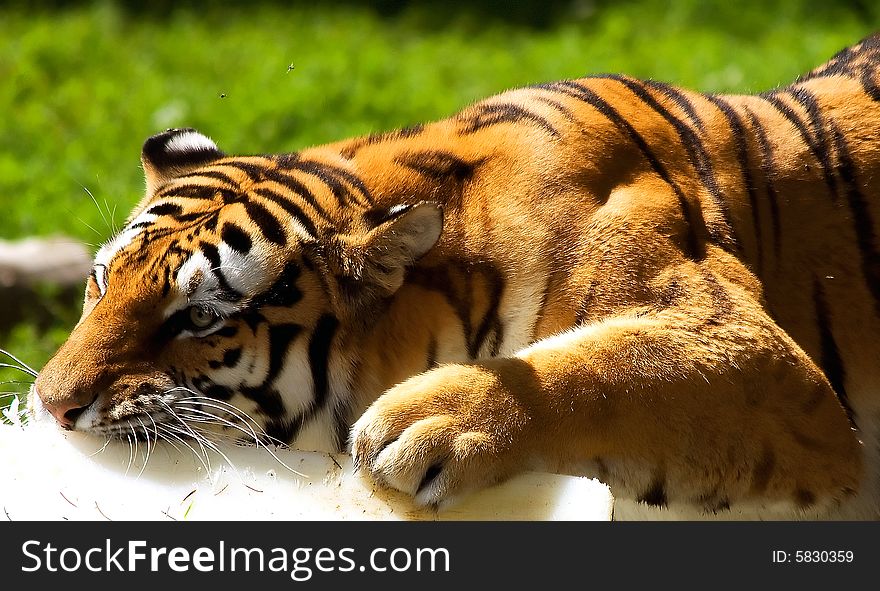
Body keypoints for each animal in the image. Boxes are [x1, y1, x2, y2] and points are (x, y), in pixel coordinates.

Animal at [27, 34, 880, 520]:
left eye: (202, 317)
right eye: (100, 282)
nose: (49, 406)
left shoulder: (762, 360)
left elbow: (616, 364)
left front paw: (423, 424)